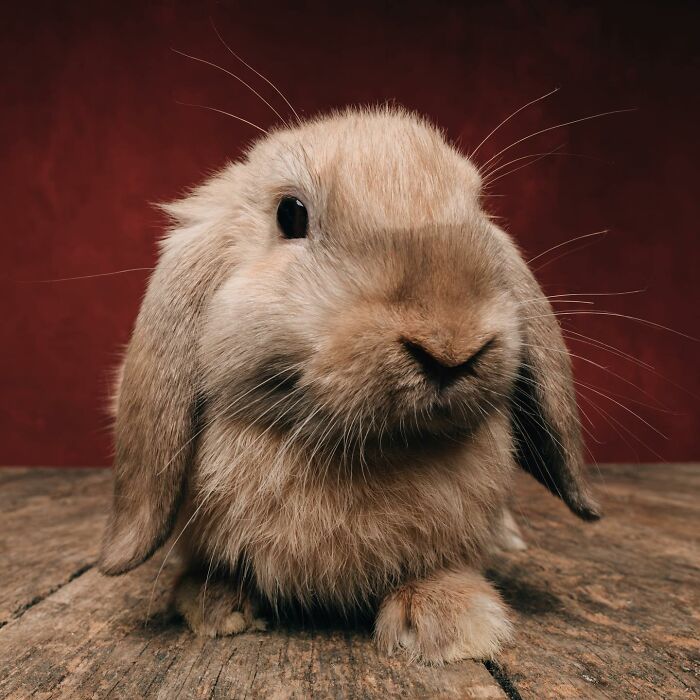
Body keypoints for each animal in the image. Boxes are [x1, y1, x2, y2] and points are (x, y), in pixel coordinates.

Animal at [98, 106, 600, 664]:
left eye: (478, 210)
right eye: (291, 214)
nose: (450, 346)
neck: (367, 450)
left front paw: (451, 624)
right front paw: (216, 607)